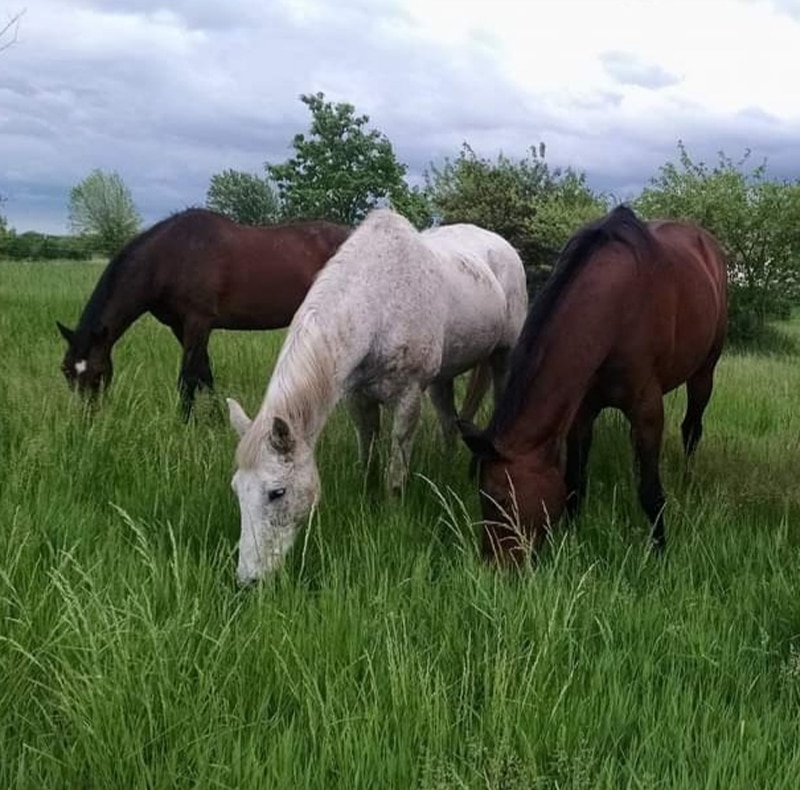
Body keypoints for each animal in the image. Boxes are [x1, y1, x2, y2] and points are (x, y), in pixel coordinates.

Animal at [56, 208, 351, 418]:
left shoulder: (198, 322)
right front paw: (218, 418)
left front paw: (183, 423)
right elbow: (204, 372)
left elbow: (187, 377)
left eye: (98, 373)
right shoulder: (180, 326)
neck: (168, 258)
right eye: (66, 371)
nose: (85, 419)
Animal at [226, 208, 528, 583]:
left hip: (502, 355)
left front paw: (393, 512)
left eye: (276, 492)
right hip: (443, 377)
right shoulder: (359, 398)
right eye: (237, 489)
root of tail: (503, 246)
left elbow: (396, 463)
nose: (248, 579)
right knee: (449, 422)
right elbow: (367, 450)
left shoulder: (409, 395)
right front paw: (366, 496)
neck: (378, 304)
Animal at [459, 205, 728, 565]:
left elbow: (650, 490)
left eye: (501, 499)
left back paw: (687, 481)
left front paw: (659, 549)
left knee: (692, 429)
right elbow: (574, 481)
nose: (495, 566)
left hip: (704, 371)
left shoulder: (647, 408)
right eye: (481, 497)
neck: (618, 310)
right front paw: (569, 538)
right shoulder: (581, 412)